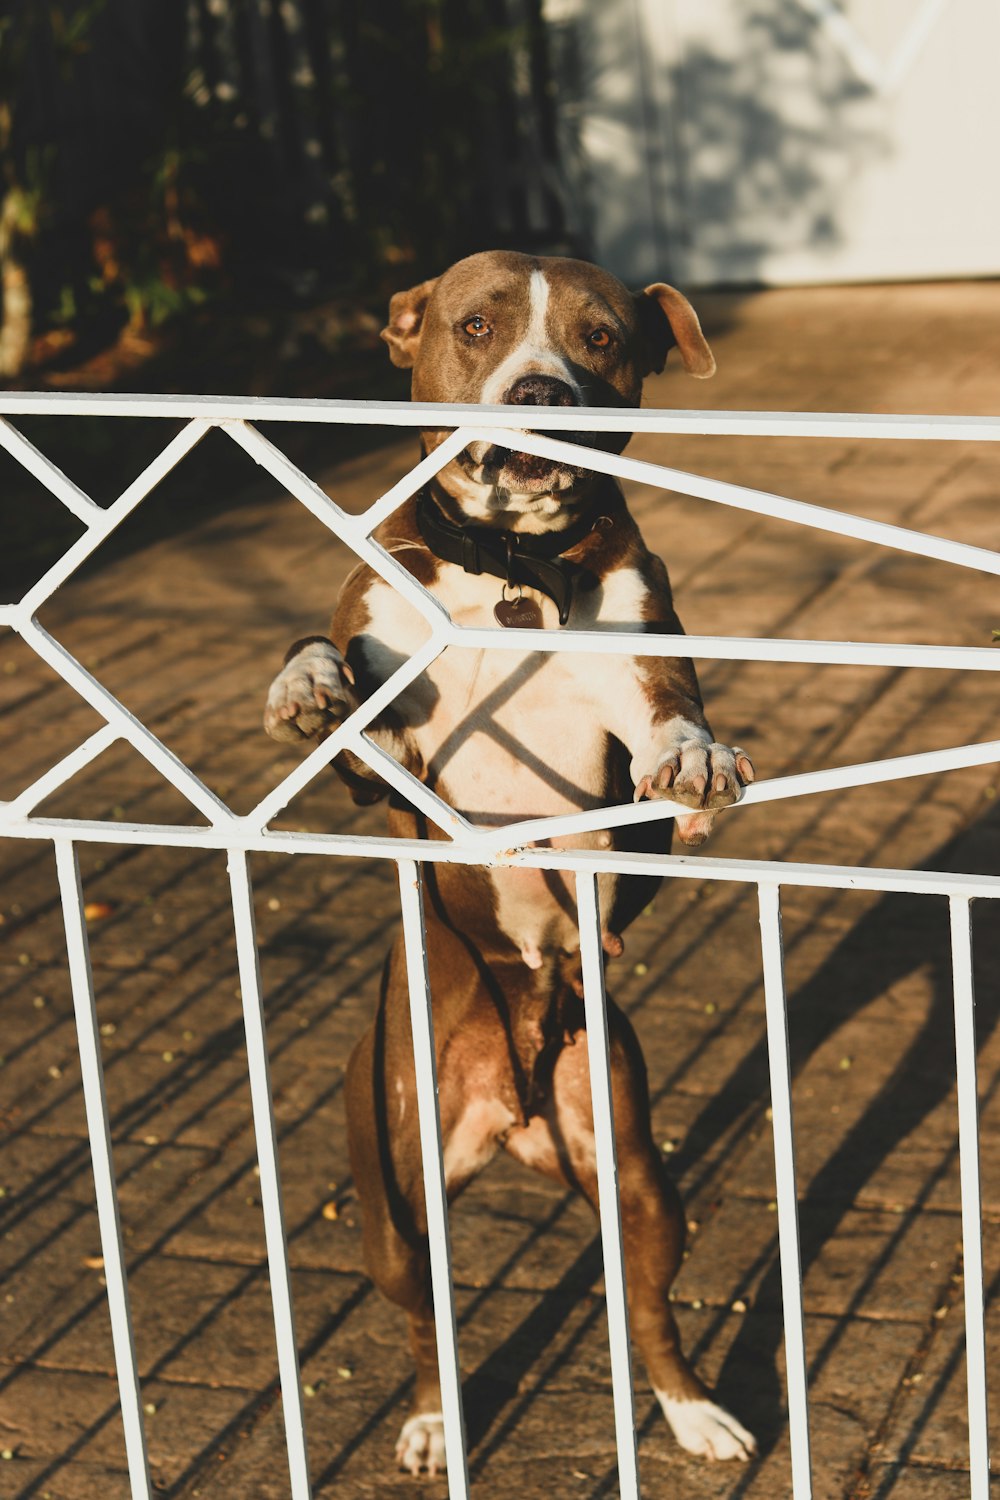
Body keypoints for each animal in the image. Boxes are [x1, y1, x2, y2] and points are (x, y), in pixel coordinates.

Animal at [265, 252, 758, 1470]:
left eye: (602, 336)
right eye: (477, 325)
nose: (540, 392)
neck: (511, 566)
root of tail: (515, 1099)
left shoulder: (638, 685)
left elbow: (668, 724)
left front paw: (696, 758)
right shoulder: (386, 766)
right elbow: (324, 662)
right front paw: (303, 683)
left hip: (634, 1171)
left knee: (647, 1303)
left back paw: (693, 1411)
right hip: (392, 1196)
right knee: (422, 1316)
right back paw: (434, 1421)